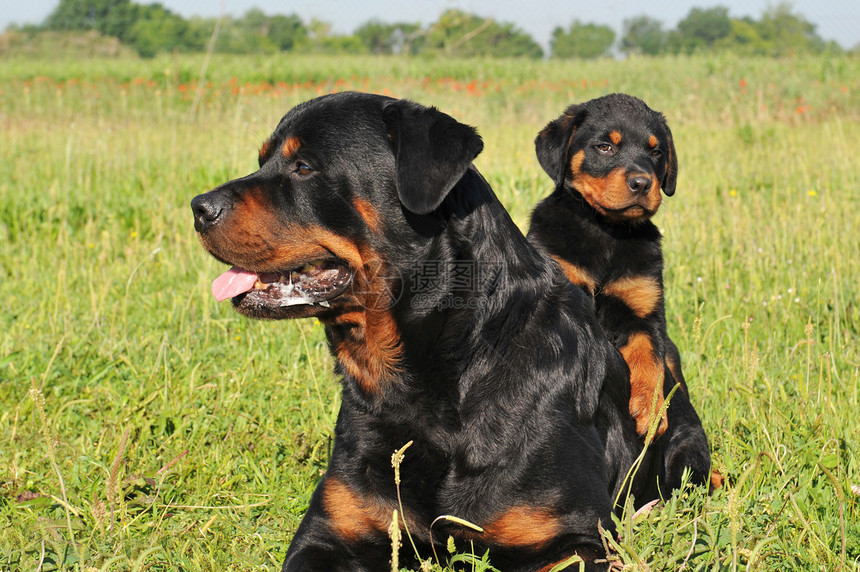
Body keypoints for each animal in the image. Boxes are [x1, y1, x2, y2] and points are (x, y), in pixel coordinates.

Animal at [528, 94, 716, 492]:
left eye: (656, 151)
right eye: (605, 147)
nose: (643, 183)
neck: (608, 232)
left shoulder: (644, 312)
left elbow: (649, 358)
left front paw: (650, 410)